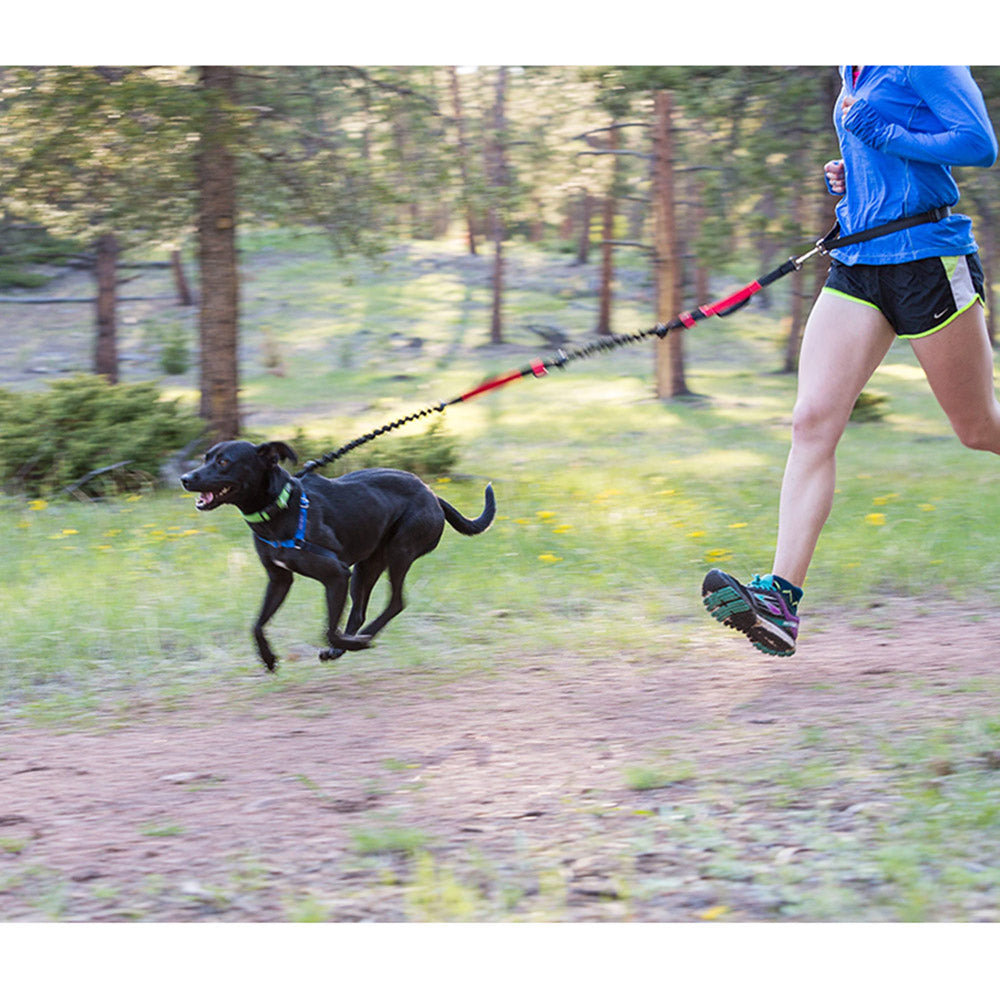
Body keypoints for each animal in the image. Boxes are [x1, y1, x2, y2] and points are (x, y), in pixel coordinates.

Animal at [183, 444, 496, 672]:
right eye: (206, 457)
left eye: (224, 462)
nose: (185, 479)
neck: (280, 509)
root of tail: (432, 494)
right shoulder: (280, 579)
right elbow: (257, 625)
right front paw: (269, 659)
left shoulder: (336, 575)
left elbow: (329, 630)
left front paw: (353, 645)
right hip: (366, 566)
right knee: (359, 611)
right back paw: (346, 645)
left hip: (399, 553)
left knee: (396, 602)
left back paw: (360, 639)